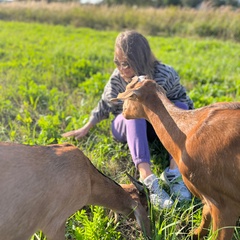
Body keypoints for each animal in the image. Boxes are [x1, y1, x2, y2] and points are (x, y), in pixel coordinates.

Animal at [112, 77, 240, 240]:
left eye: (128, 92)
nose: (122, 111)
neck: (187, 132)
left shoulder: (226, 204)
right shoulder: (209, 197)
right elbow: (205, 213)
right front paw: (194, 234)